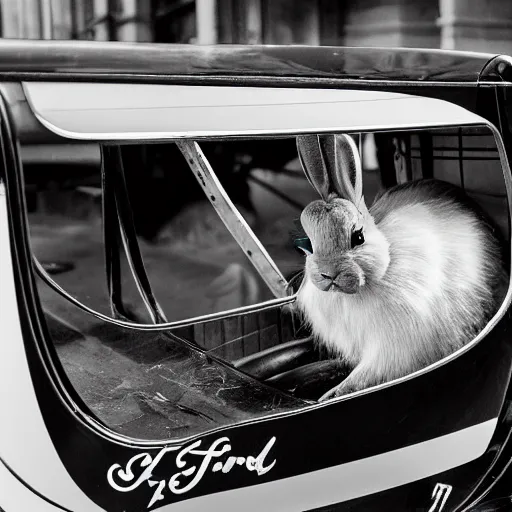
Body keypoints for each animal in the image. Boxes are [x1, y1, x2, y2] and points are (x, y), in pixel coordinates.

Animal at [294, 133, 506, 400]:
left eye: (358, 237)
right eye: (307, 245)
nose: (328, 274)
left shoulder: (393, 346)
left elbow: (368, 372)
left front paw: (333, 393)